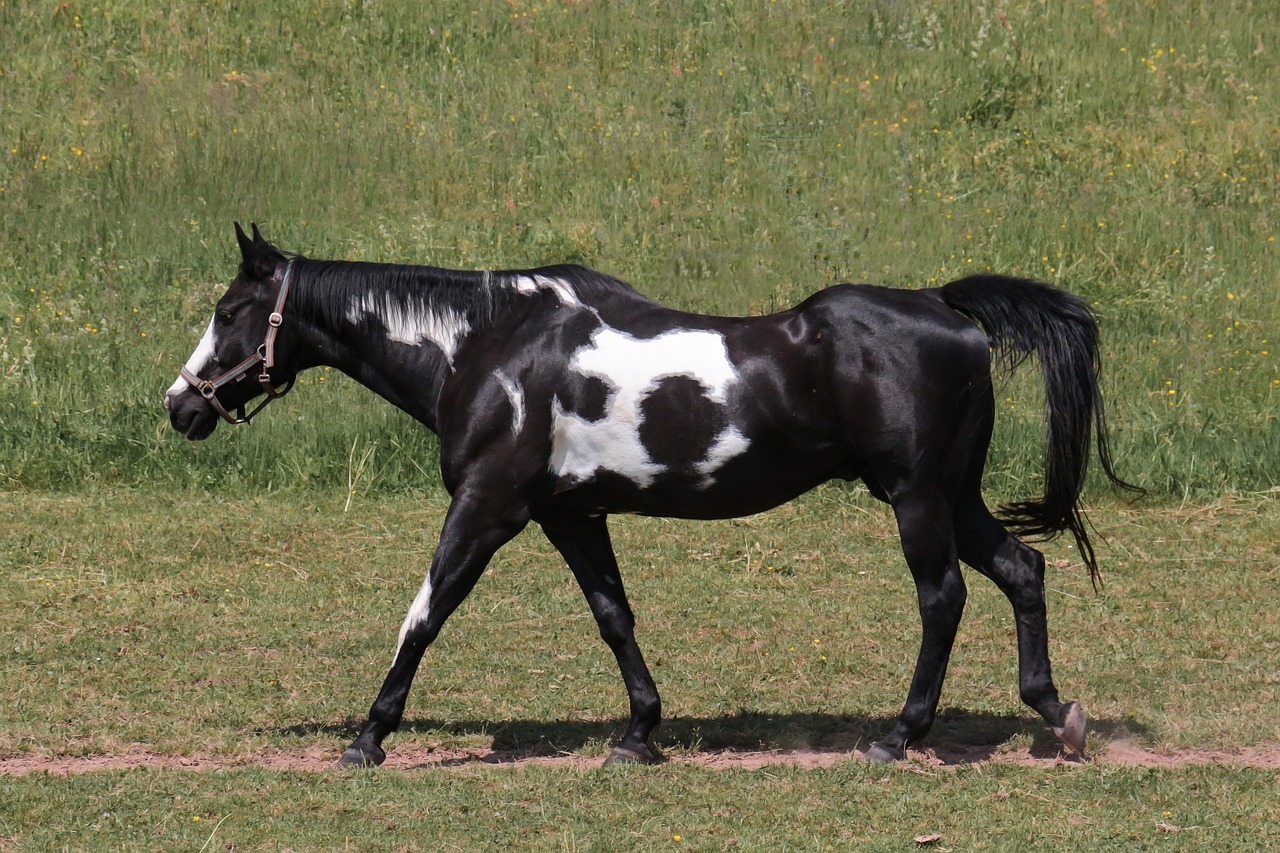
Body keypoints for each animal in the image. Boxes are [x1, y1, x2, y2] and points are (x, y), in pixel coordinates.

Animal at [165, 224, 1136, 763]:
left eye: (229, 311)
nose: (181, 403)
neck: (489, 345)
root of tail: (944, 305)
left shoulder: (487, 508)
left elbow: (426, 611)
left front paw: (369, 735)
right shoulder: (571, 515)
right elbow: (614, 616)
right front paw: (639, 733)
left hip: (918, 499)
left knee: (943, 598)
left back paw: (900, 735)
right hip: (954, 497)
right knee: (1024, 569)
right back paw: (1057, 712)